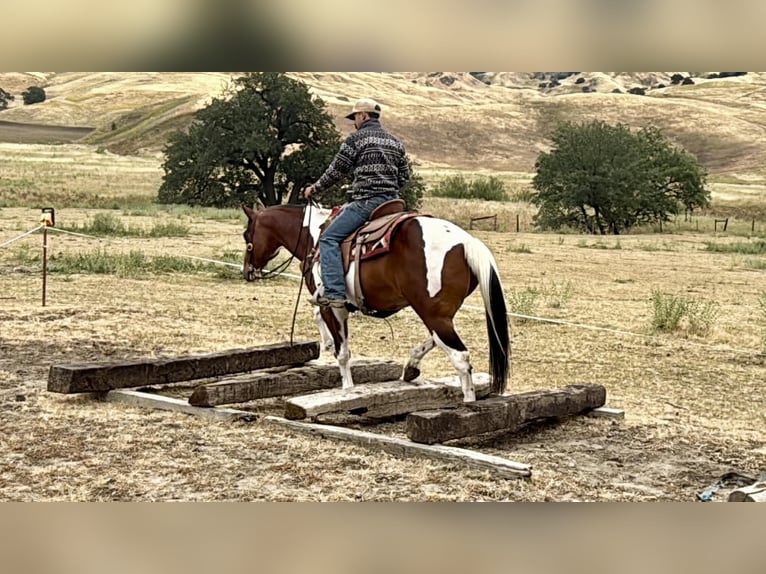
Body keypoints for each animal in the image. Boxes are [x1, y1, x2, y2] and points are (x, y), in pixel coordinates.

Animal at [241, 203, 510, 402]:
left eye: (246, 234)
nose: (247, 271)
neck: (314, 236)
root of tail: (467, 243)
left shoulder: (334, 306)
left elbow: (342, 352)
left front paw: (347, 388)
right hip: (437, 314)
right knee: (439, 341)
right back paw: (411, 368)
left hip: (433, 314)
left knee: (460, 357)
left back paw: (468, 402)